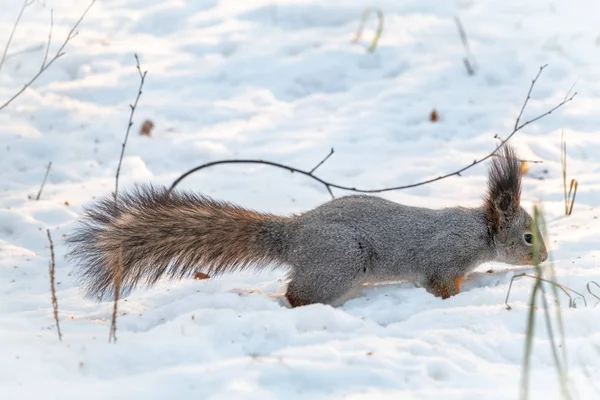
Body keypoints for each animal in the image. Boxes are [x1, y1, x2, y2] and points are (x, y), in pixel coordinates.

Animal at [67, 144, 548, 306]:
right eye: (527, 236)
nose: (544, 258)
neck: (479, 232)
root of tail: (293, 235)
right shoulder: (443, 258)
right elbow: (441, 285)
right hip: (341, 262)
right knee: (298, 294)